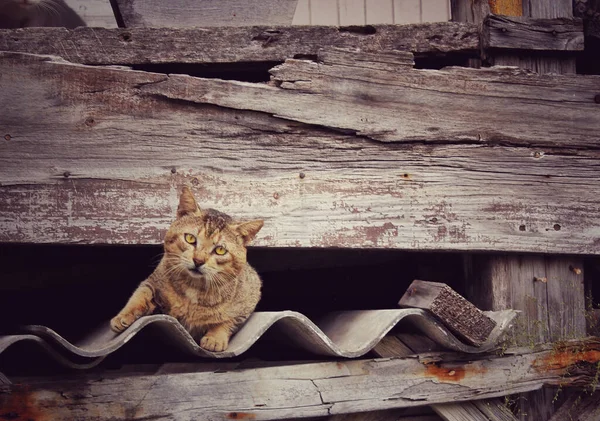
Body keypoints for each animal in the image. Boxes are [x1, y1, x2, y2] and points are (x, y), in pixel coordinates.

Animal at [112, 187, 262, 352]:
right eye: (190, 238)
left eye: (220, 250)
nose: (198, 260)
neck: (193, 288)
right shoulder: (154, 281)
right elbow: (140, 295)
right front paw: (124, 315)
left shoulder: (250, 298)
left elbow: (228, 320)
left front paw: (215, 337)